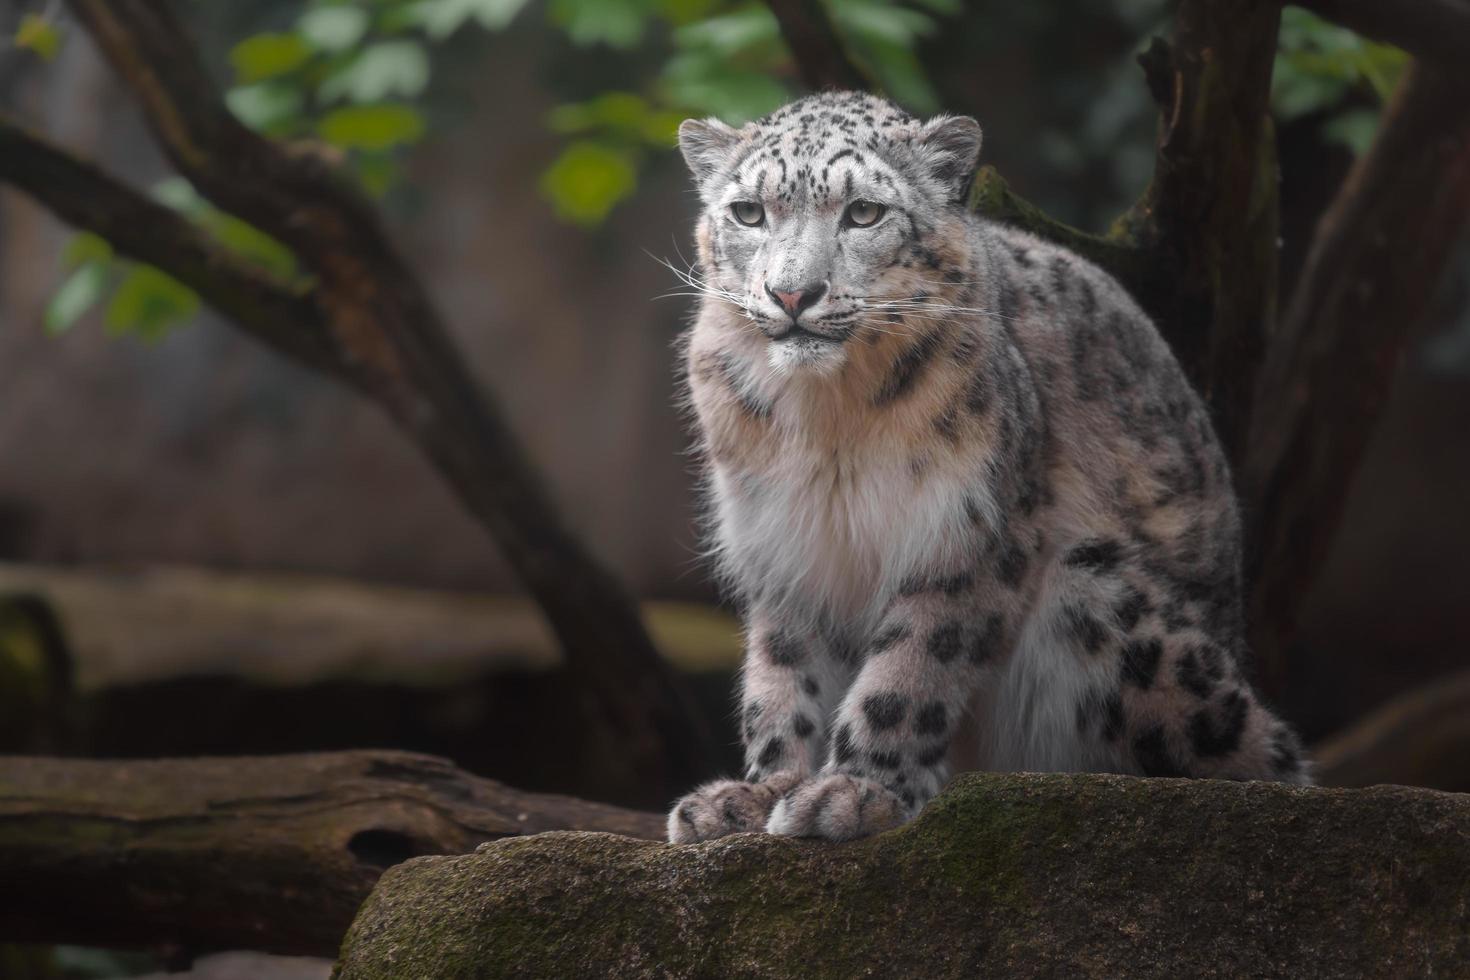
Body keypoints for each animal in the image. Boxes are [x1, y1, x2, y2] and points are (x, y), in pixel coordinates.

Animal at [667, 88, 1311, 846]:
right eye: (748, 212)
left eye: (864, 213)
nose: (793, 294)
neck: (828, 425)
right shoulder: (782, 546)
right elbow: (782, 676)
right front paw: (758, 794)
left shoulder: (967, 529)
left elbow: (911, 667)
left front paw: (855, 793)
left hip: (1105, 597)